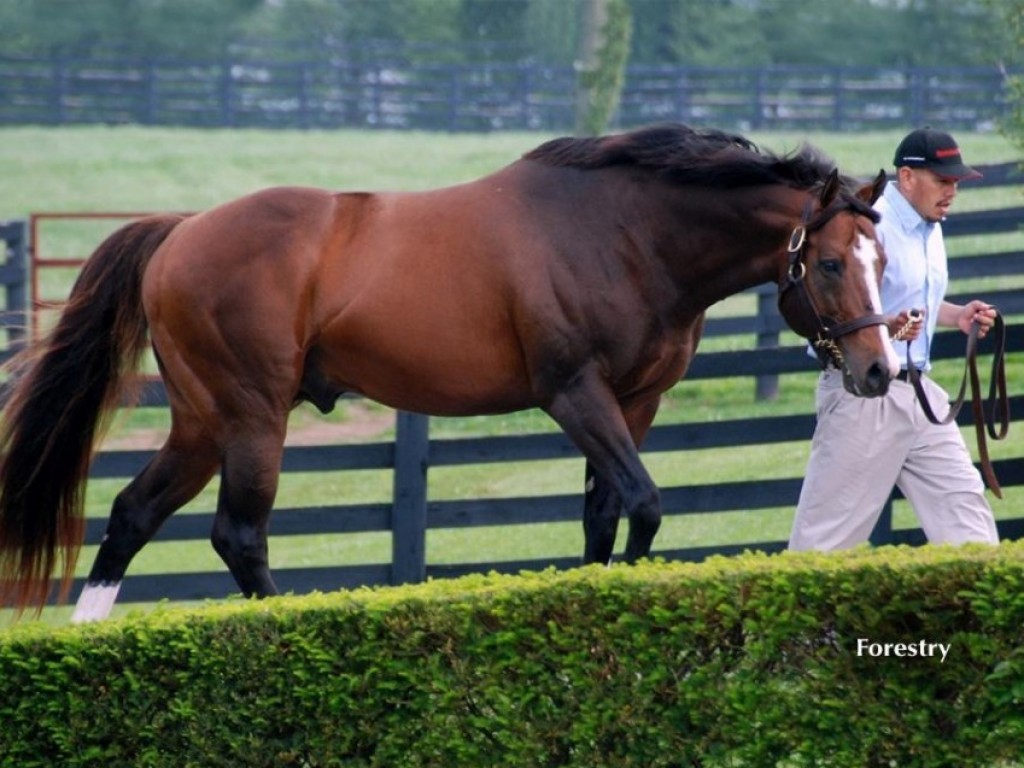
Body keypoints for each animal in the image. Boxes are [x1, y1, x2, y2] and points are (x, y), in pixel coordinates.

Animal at [0, 123, 897, 622]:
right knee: (238, 535)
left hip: (200, 422)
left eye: (882, 258)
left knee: (131, 515)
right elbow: (643, 505)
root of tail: (180, 231)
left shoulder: (634, 403)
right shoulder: (574, 394)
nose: (880, 370)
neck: (624, 232)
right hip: (253, 415)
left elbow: (604, 517)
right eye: (826, 264)